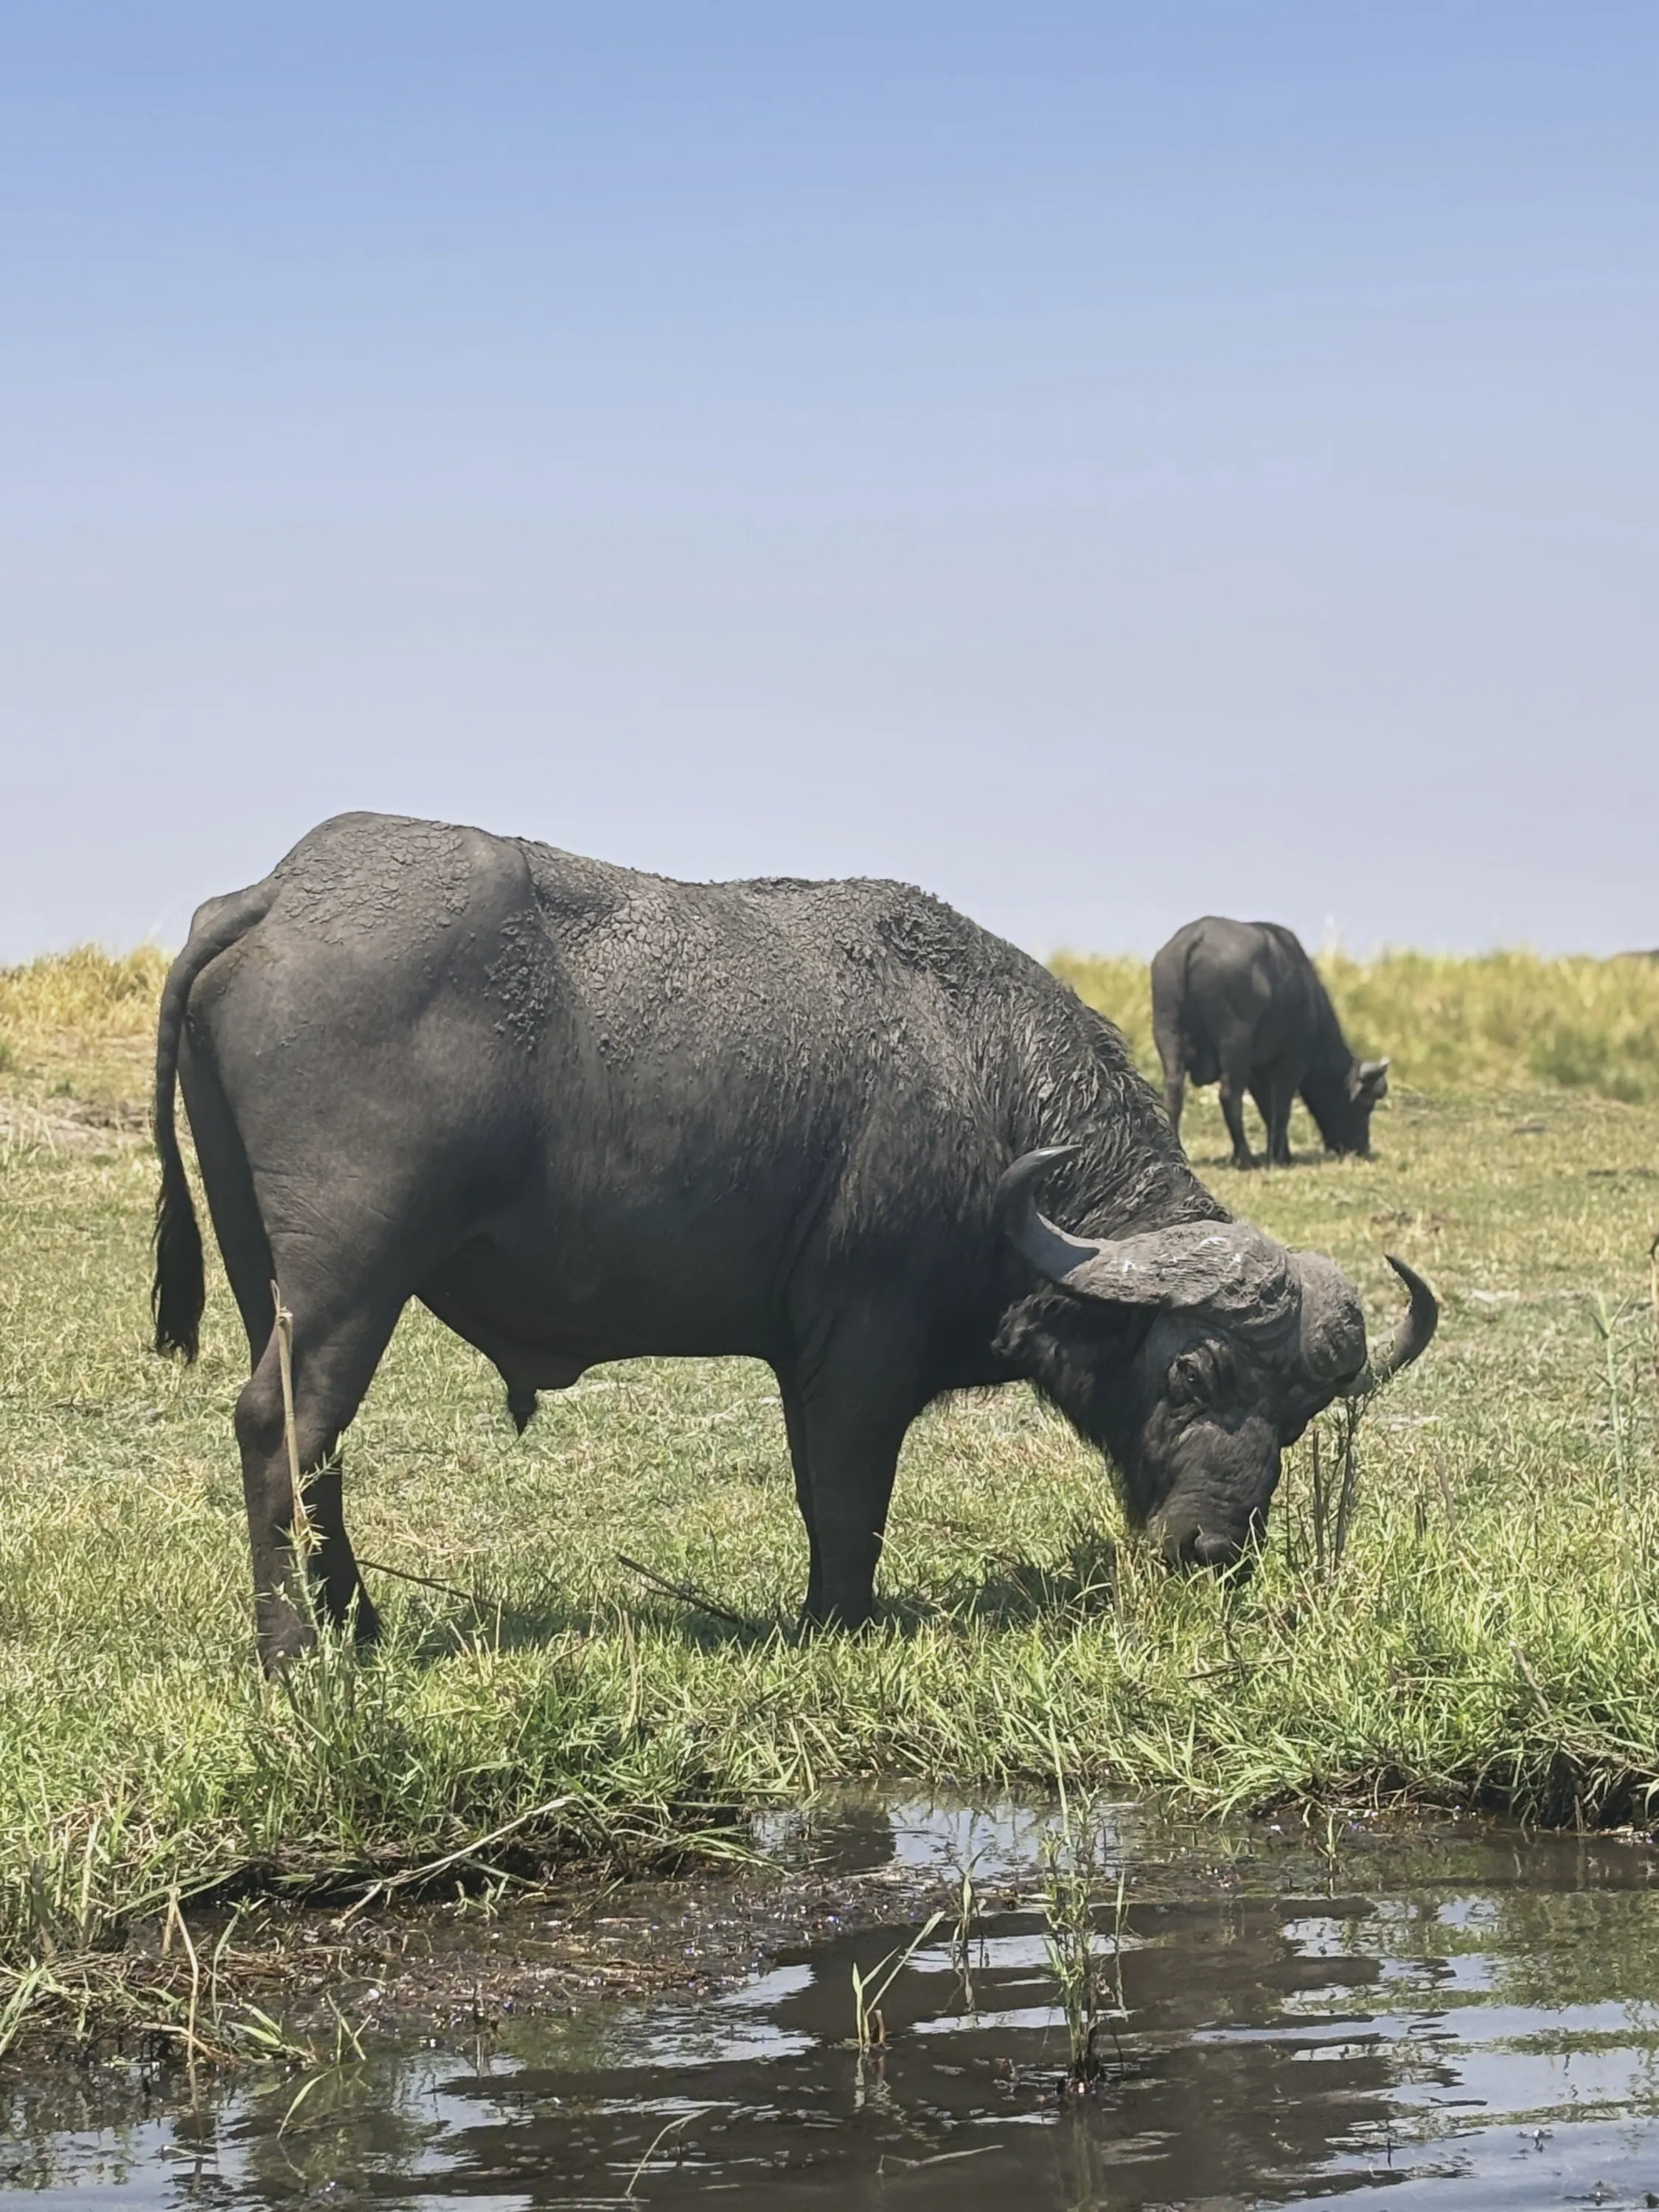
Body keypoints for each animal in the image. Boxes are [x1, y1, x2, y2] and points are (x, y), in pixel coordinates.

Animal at [1152, 916, 1390, 1170]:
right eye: (1367, 1103)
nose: (1362, 1149)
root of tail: (1196, 936)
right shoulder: (1294, 1059)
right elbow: (1281, 1106)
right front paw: (1279, 1156)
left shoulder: (1257, 1069)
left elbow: (1266, 1106)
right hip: (1235, 1040)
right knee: (1230, 1096)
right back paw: (1246, 1158)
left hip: (1167, 1031)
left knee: (1174, 1093)